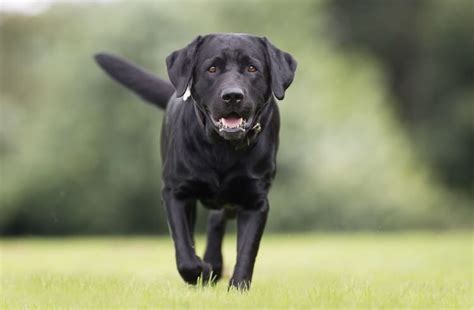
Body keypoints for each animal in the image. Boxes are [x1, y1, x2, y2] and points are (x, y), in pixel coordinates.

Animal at [94, 32, 296, 290]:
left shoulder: (256, 201)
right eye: (212, 68)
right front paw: (201, 270)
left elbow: (247, 251)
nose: (232, 96)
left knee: (216, 219)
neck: (222, 149)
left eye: (252, 68)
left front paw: (237, 287)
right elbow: (184, 251)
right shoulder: (175, 193)